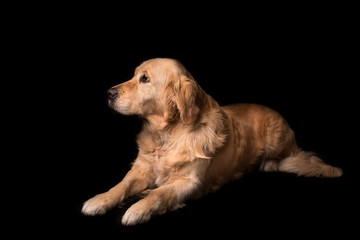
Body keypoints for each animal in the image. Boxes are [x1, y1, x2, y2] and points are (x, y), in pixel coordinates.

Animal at [82, 57, 344, 225]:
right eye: (134, 75)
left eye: (144, 79)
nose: (109, 93)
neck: (167, 134)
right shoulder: (141, 169)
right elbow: (121, 186)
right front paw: (100, 200)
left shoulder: (190, 182)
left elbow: (160, 194)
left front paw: (138, 209)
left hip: (276, 137)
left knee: (285, 158)